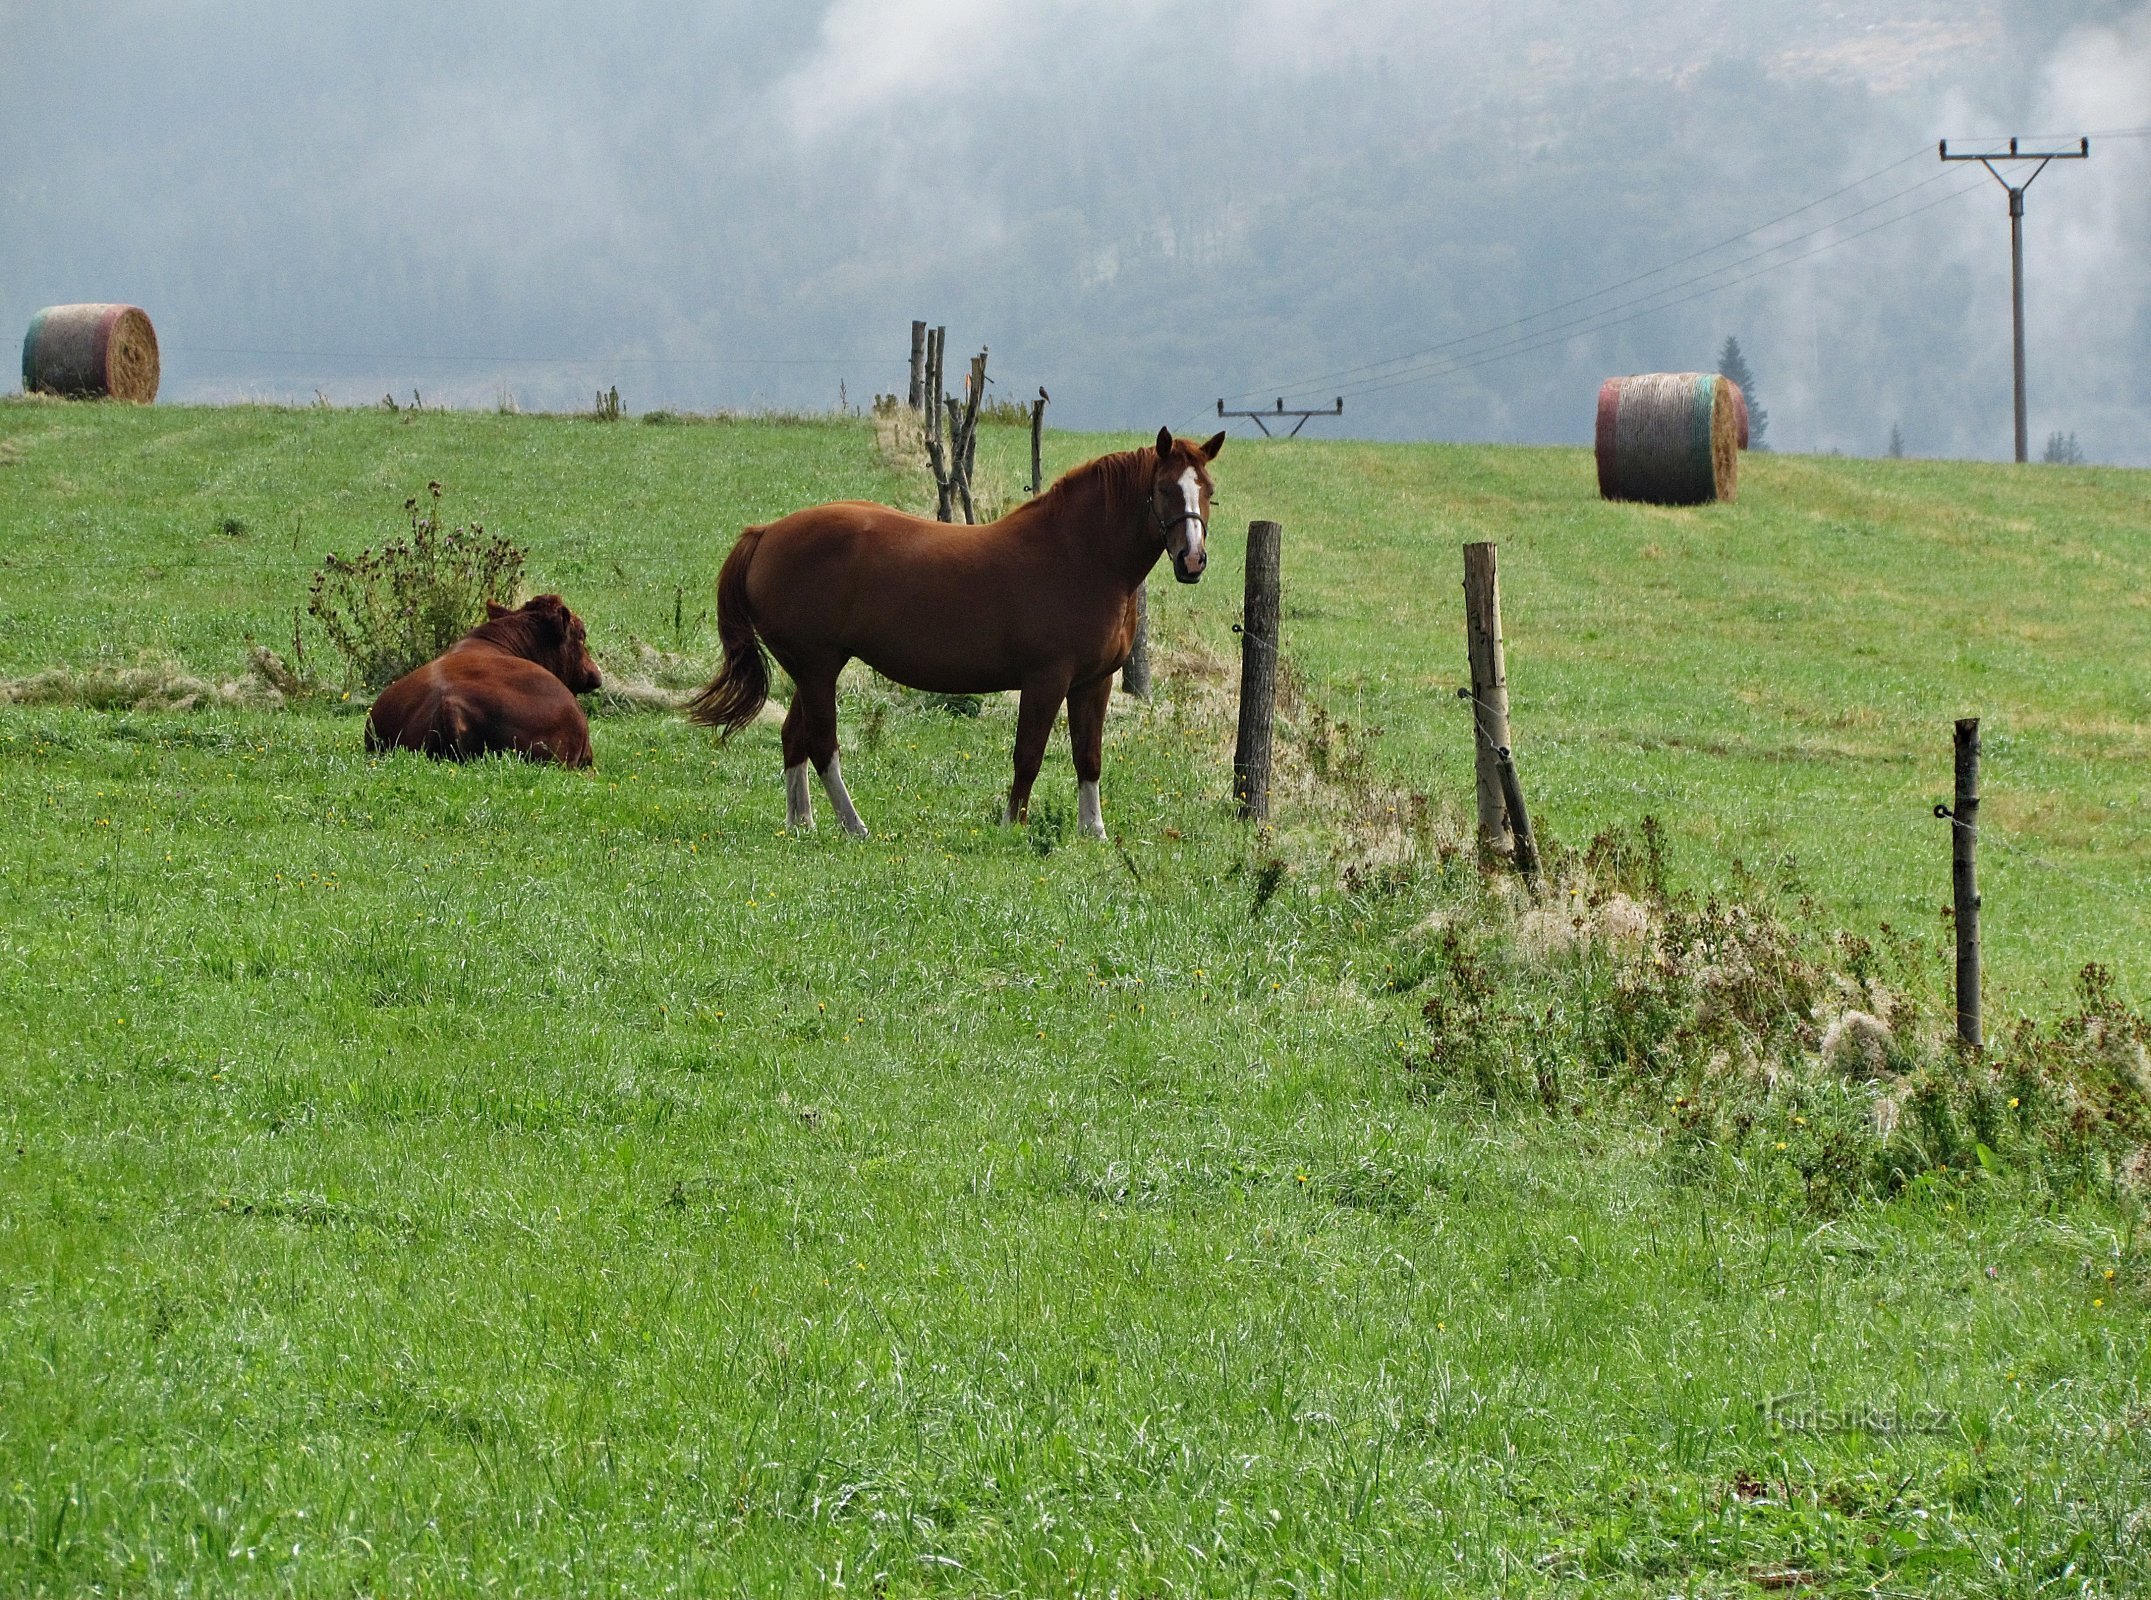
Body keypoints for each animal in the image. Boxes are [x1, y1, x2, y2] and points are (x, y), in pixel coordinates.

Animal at [692, 432, 1230, 843]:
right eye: (1163, 489)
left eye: (1207, 489)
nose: (1193, 561)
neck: (1079, 556)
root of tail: (765, 533)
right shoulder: (1045, 680)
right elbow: (1028, 754)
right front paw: (1012, 827)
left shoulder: (1092, 683)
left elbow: (1088, 756)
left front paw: (1092, 832)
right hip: (817, 667)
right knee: (823, 744)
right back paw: (854, 827)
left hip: (814, 670)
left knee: (794, 738)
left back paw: (801, 823)